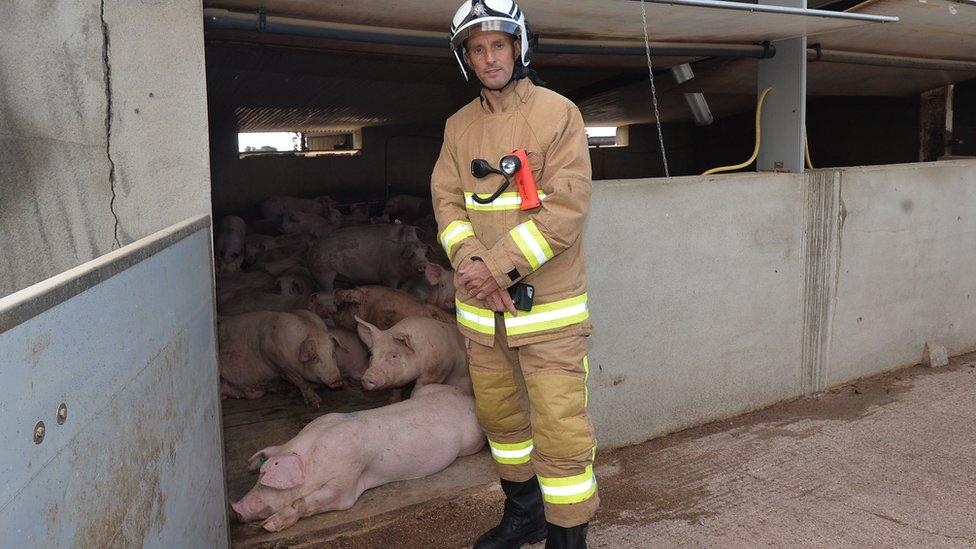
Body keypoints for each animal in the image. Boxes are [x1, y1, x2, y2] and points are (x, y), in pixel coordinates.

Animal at [230, 382, 488, 532]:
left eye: (267, 483)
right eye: (256, 479)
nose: (235, 508)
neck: (315, 457)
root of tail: (467, 398)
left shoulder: (347, 480)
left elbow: (312, 501)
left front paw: (269, 526)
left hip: (472, 441)